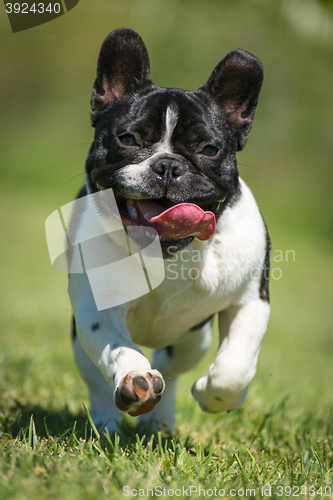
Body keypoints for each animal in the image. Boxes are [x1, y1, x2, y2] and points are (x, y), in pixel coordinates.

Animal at [68, 28, 270, 434]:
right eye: (128, 139)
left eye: (209, 149)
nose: (167, 166)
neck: (168, 252)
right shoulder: (95, 308)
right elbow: (118, 348)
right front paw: (136, 379)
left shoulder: (251, 302)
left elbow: (234, 368)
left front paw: (212, 394)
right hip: (80, 346)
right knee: (97, 381)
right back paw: (108, 421)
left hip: (192, 339)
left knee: (174, 367)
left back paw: (160, 422)